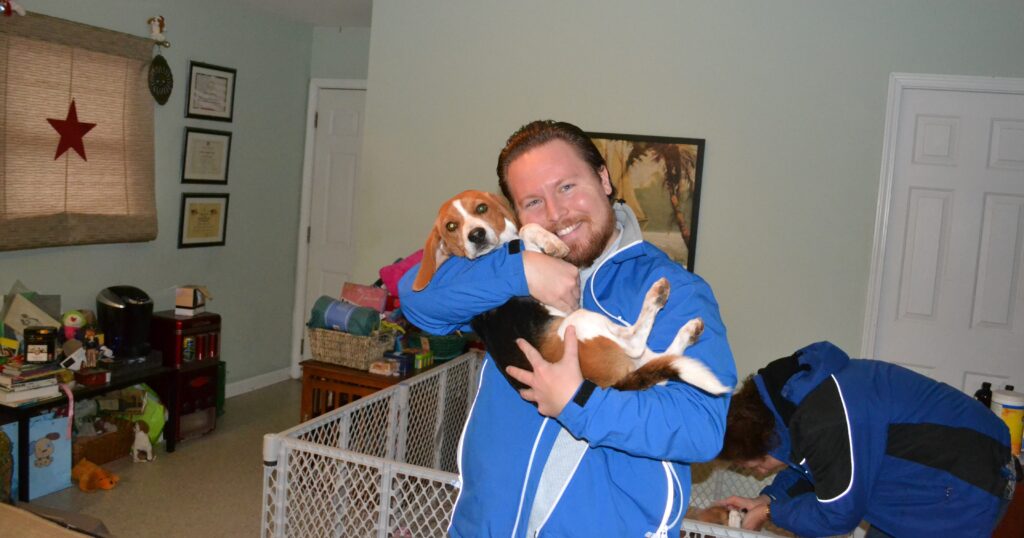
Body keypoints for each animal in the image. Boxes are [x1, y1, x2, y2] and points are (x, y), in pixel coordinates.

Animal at [413, 190, 729, 394]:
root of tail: (615, 382)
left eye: (481, 208)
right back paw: (657, 295)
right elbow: (527, 229)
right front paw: (552, 242)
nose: (475, 235)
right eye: (451, 226)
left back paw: (689, 331)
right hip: (580, 323)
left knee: (662, 365)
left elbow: (525, 228)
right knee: (636, 343)